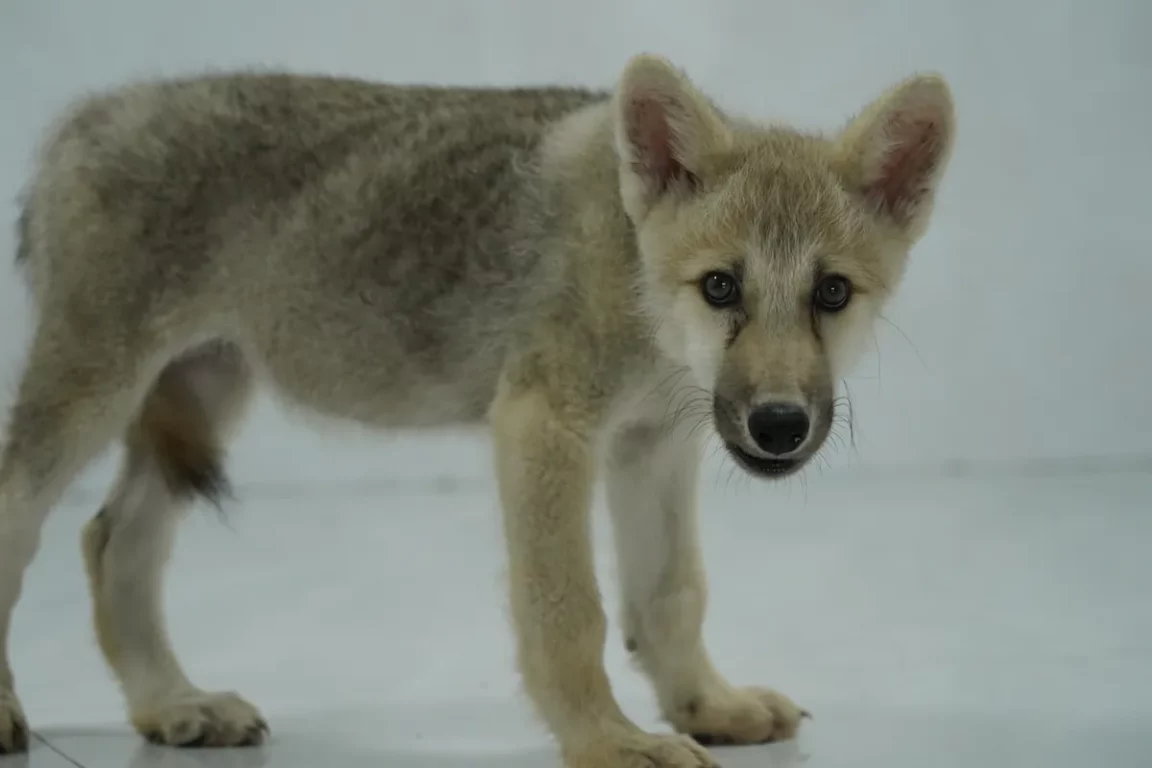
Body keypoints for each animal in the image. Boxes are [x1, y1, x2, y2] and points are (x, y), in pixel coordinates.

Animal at [0, 54, 954, 766]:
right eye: (722, 287)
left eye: (832, 294)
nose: (780, 426)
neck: (636, 279)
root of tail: (86, 115)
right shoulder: (544, 426)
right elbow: (570, 613)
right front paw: (607, 742)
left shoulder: (653, 446)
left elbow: (671, 595)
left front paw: (703, 706)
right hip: (93, 390)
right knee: (23, 518)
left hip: (205, 389)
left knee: (113, 542)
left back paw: (173, 704)